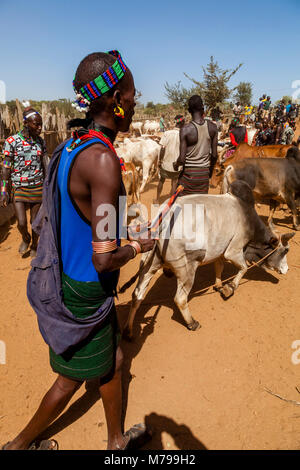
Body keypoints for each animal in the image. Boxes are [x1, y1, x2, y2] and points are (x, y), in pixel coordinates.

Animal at [123, 180, 292, 338]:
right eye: (284, 251)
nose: (286, 269)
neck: (248, 217)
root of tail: (162, 222)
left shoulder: (220, 252)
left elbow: (219, 267)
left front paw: (218, 285)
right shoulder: (233, 250)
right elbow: (243, 268)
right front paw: (229, 288)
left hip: (149, 265)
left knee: (137, 295)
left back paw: (129, 331)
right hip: (187, 268)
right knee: (180, 299)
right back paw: (192, 323)